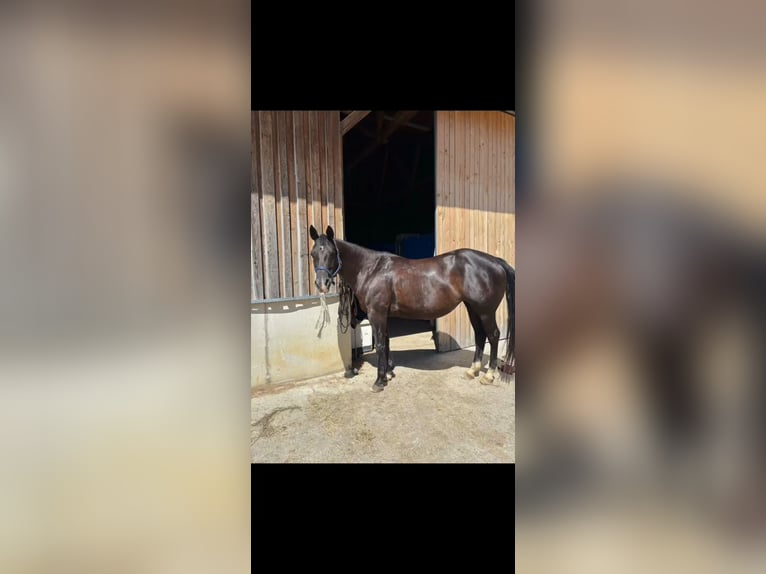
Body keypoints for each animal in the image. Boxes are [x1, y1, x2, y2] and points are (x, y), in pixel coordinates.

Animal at [309, 224, 515, 392]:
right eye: (313, 254)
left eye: (331, 253)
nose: (321, 284)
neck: (372, 269)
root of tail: (495, 261)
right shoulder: (384, 315)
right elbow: (387, 341)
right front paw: (388, 373)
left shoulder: (377, 314)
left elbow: (381, 344)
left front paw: (379, 381)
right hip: (473, 308)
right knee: (480, 335)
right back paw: (473, 371)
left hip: (486, 311)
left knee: (493, 335)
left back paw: (489, 375)